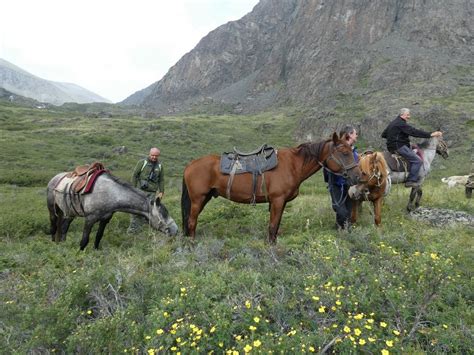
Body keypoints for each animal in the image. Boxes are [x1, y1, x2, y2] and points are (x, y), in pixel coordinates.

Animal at [46, 172, 178, 250]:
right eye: (162, 214)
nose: (175, 230)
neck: (110, 194)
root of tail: (54, 178)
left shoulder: (105, 219)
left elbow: (98, 236)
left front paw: (95, 252)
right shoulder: (90, 219)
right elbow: (84, 240)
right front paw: (80, 255)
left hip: (69, 213)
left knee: (64, 227)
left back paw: (62, 243)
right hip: (53, 210)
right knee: (54, 226)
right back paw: (53, 244)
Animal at [180, 134, 362, 245]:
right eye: (344, 152)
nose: (358, 176)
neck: (293, 165)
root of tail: (190, 165)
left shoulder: (281, 203)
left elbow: (275, 227)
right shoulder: (277, 200)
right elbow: (273, 226)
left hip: (204, 198)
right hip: (198, 199)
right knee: (192, 222)